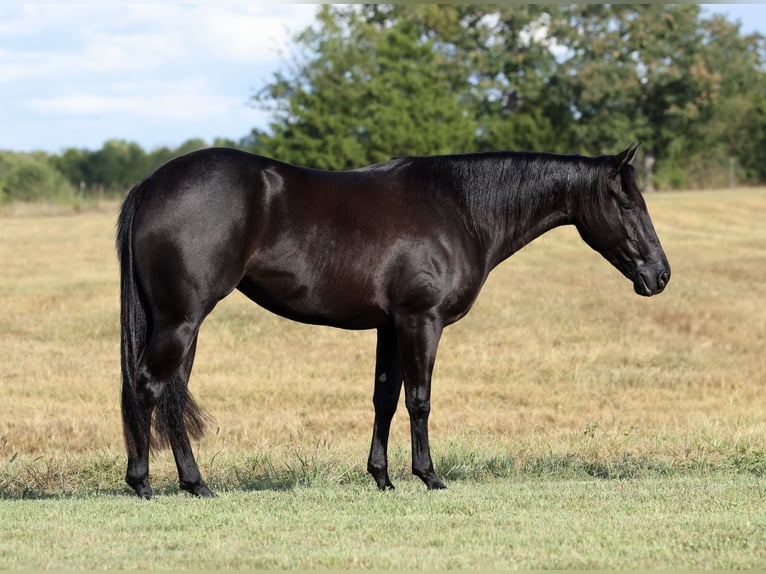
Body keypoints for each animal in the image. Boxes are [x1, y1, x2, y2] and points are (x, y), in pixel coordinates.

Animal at [116, 143, 670, 498]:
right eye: (628, 203)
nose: (659, 274)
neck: (460, 209)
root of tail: (152, 185)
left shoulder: (390, 325)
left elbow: (384, 398)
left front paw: (382, 477)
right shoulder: (421, 321)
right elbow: (419, 400)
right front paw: (429, 476)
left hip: (183, 325)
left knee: (171, 392)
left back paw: (191, 483)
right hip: (182, 320)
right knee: (150, 385)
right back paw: (149, 483)